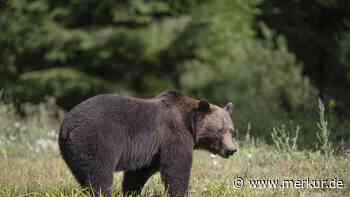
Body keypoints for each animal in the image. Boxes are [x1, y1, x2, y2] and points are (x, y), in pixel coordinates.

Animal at [58, 90, 238, 197]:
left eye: (231, 130)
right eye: (220, 130)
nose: (232, 149)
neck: (189, 123)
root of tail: (66, 125)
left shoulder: (152, 151)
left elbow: (138, 173)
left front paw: (131, 191)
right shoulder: (173, 135)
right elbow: (176, 168)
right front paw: (180, 192)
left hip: (74, 151)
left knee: (84, 176)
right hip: (96, 140)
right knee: (99, 175)